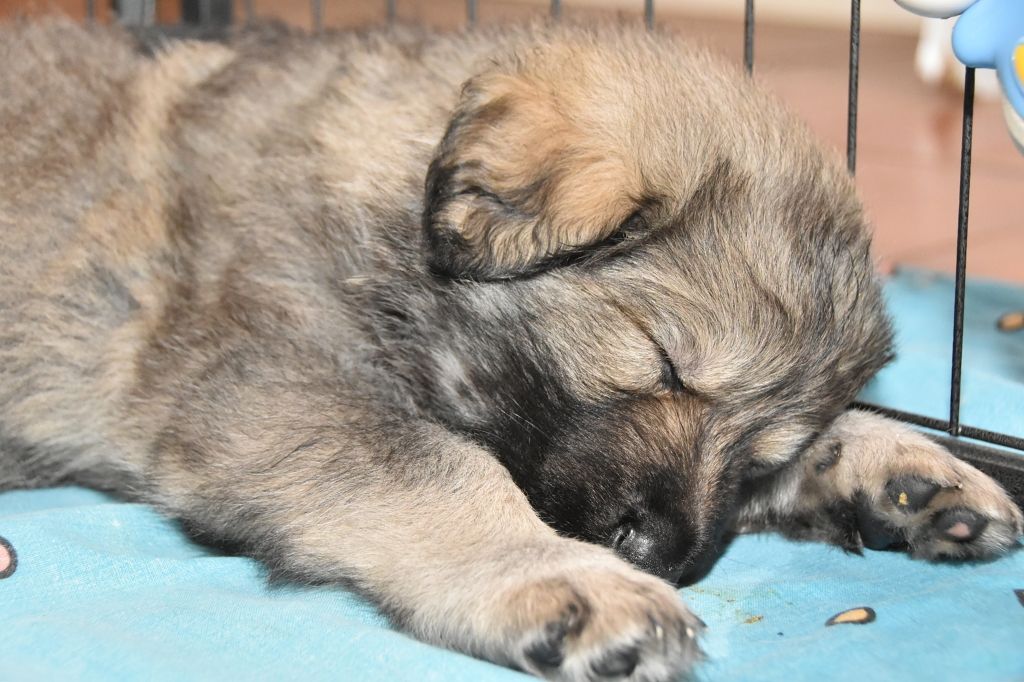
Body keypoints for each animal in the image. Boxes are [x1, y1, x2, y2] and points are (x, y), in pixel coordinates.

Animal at [1, 18, 1021, 682]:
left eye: (769, 448)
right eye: (662, 362)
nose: (664, 555)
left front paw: (900, 466)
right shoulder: (275, 384)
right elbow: (442, 468)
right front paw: (559, 578)